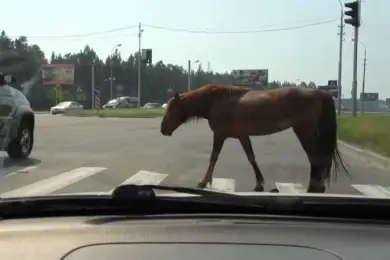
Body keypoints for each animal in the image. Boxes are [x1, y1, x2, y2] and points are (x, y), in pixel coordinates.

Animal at [160, 84, 348, 193]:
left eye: (171, 108)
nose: (163, 129)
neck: (217, 100)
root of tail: (318, 92)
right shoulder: (242, 136)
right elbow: (251, 157)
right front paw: (259, 183)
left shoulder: (219, 135)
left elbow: (213, 157)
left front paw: (203, 182)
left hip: (304, 131)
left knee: (314, 158)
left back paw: (315, 187)